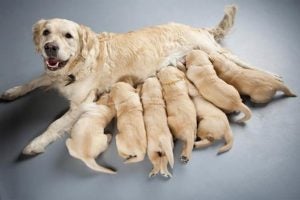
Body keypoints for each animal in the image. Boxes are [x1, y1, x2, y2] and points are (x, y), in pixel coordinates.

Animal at [0, 4, 262, 155]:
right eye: (46, 32)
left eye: (68, 36)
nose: (50, 48)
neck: (76, 65)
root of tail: (197, 27)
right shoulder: (52, 75)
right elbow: (34, 81)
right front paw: (12, 91)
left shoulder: (82, 104)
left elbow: (55, 124)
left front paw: (36, 143)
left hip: (215, 52)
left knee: (243, 64)